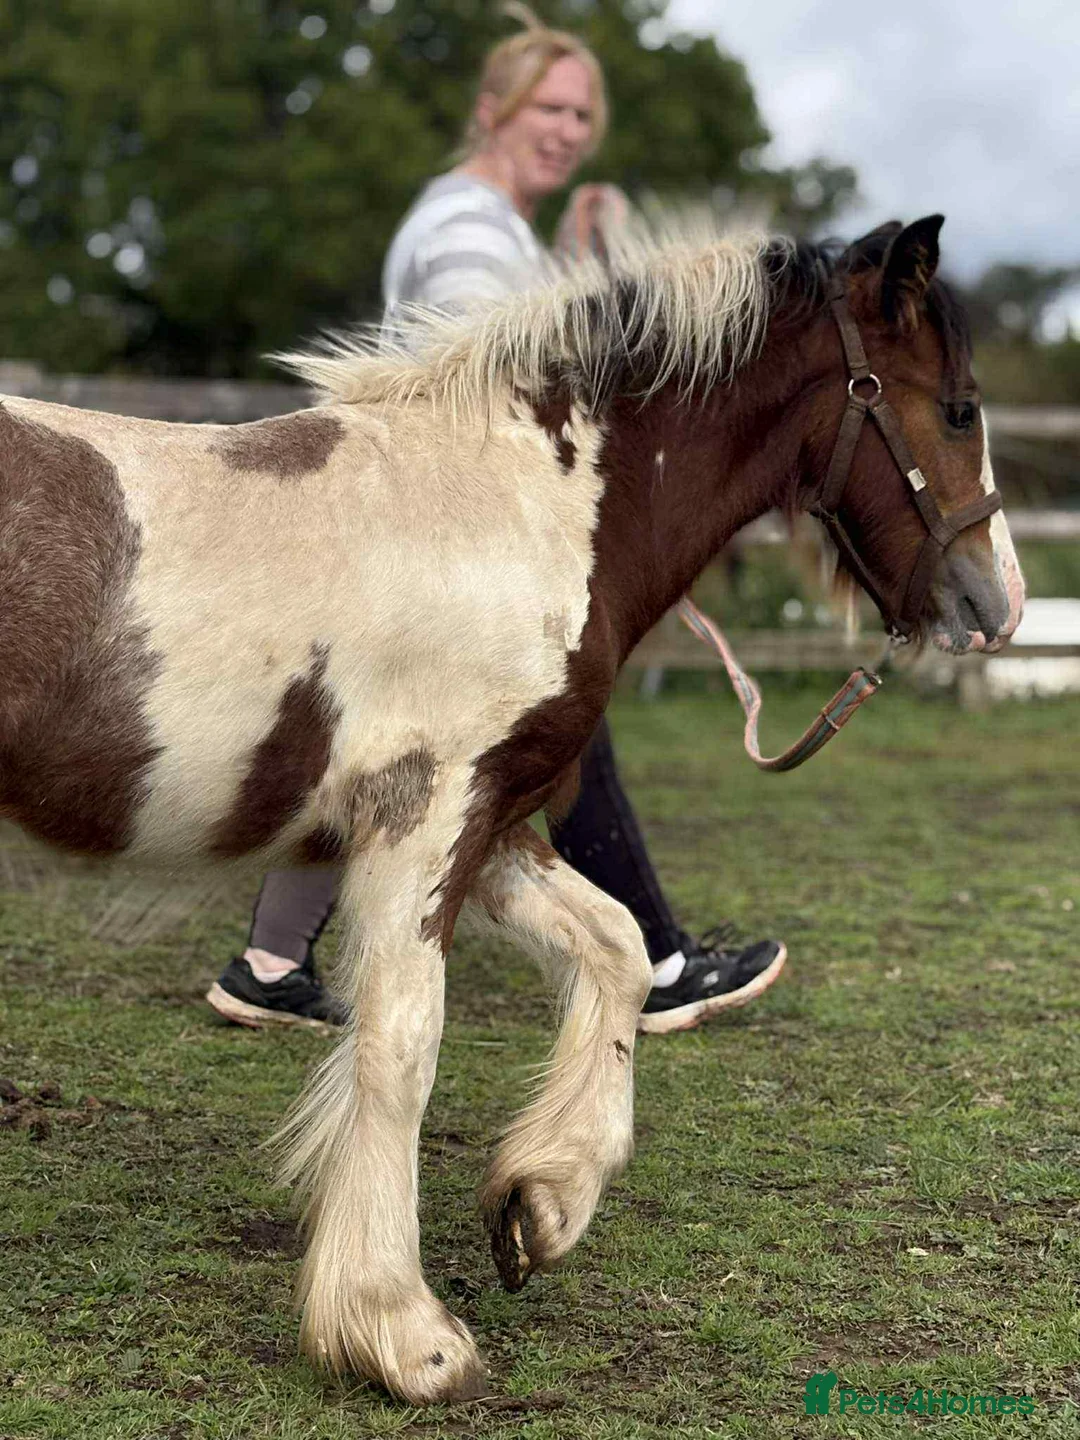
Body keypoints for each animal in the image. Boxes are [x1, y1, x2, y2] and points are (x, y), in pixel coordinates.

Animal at [0, 212, 1024, 1404]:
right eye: (958, 406)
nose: (996, 604)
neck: (519, 505)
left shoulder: (493, 823)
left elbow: (617, 948)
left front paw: (541, 1204)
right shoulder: (428, 815)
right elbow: (403, 1044)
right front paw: (399, 1331)